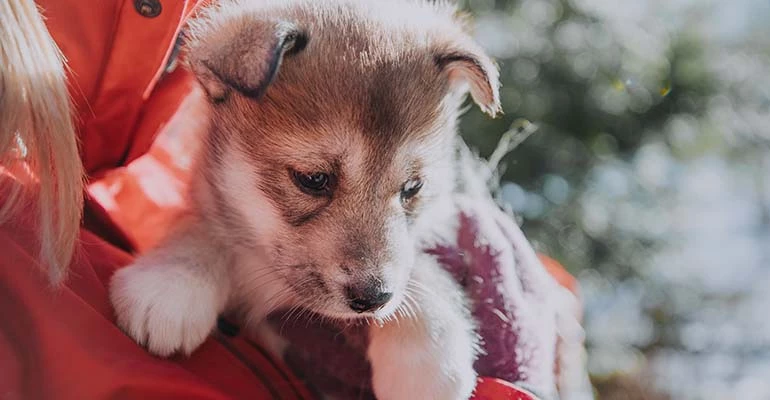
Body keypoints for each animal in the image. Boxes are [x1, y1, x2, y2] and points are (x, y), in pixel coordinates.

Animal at [109, 1, 498, 398]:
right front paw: (173, 278)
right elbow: (205, 227)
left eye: (412, 188)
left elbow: (419, 267)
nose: (373, 298)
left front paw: (429, 356)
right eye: (313, 179)